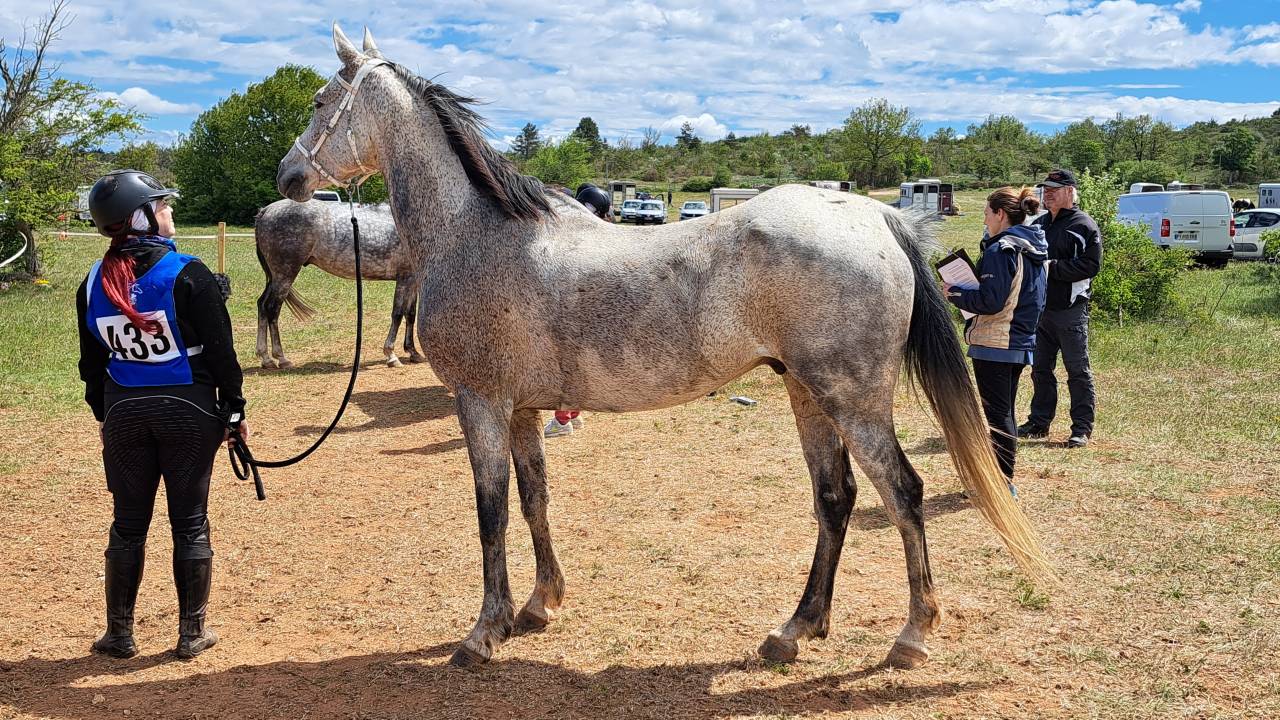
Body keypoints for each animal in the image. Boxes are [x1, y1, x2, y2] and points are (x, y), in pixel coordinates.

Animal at [254, 198, 426, 368]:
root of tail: (266, 210)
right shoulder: (405, 277)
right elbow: (397, 314)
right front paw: (391, 355)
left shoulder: (413, 281)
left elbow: (410, 314)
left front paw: (413, 352)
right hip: (285, 274)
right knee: (272, 309)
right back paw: (281, 358)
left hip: (276, 277)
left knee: (262, 305)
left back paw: (266, 358)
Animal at [276, 25, 1053, 669]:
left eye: (320, 100)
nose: (287, 176)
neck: (475, 234)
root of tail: (874, 215)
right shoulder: (523, 412)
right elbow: (534, 501)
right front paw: (540, 604)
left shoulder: (480, 404)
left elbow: (490, 513)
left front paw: (483, 632)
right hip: (807, 395)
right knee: (835, 500)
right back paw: (795, 630)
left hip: (853, 403)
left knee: (903, 495)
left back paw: (912, 634)